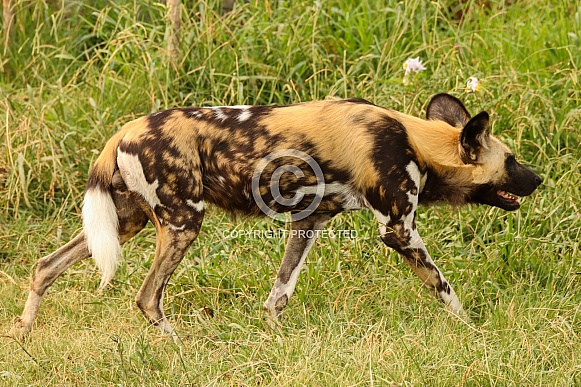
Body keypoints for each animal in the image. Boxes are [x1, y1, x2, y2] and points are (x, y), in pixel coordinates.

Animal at [11, 94, 540, 340]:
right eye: (512, 161)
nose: (538, 180)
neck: (414, 141)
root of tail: (122, 132)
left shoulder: (309, 221)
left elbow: (279, 294)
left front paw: (273, 338)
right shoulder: (398, 230)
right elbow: (446, 291)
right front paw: (473, 331)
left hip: (125, 223)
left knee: (45, 266)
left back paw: (22, 333)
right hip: (182, 224)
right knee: (146, 297)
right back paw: (181, 345)